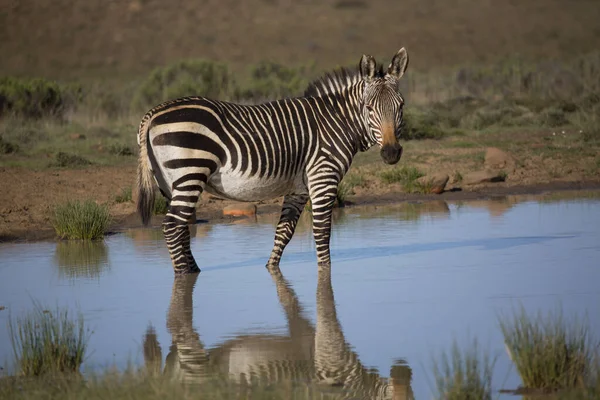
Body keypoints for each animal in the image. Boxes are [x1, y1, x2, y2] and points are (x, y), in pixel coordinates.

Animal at [136, 46, 408, 272]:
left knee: (182, 228)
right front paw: (325, 275)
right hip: (190, 172)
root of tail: (153, 113)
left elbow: (284, 232)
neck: (336, 122)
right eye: (369, 108)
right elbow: (321, 233)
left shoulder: (299, 187)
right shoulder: (323, 177)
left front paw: (271, 269)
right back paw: (184, 276)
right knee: (173, 227)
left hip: (170, 182)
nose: (391, 153)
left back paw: (193, 273)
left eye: (401, 106)